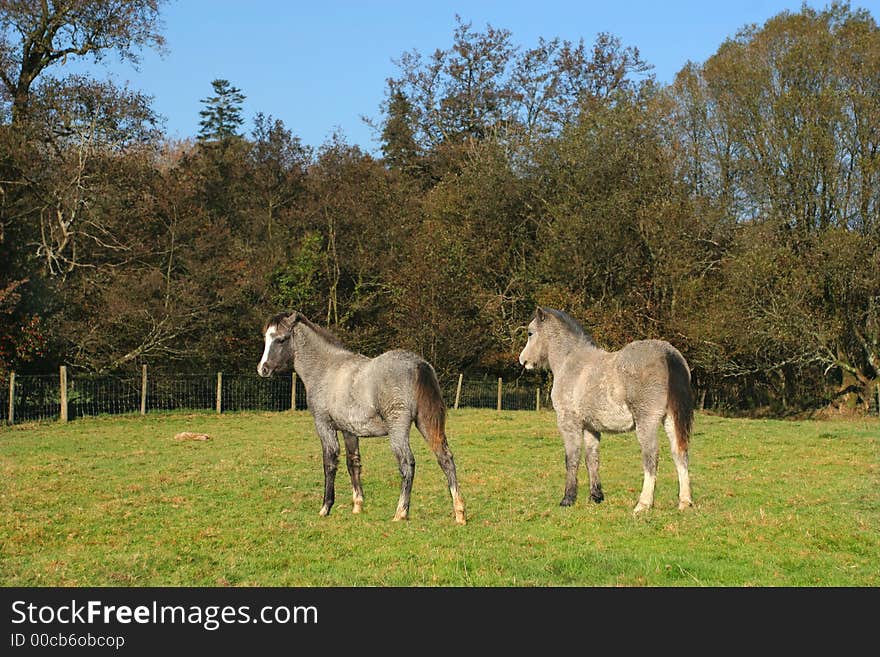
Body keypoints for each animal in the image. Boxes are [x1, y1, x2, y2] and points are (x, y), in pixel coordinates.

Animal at [516, 308, 696, 512]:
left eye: (530, 333)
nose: (523, 360)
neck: (571, 362)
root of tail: (668, 353)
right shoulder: (591, 428)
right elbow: (591, 459)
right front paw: (596, 496)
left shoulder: (568, 424)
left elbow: (572, 458)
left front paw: (567, 499)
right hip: (671, 420)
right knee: (680, 454)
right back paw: (684, 501)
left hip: (646, 422)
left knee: (651, 457)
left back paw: (643, 504)